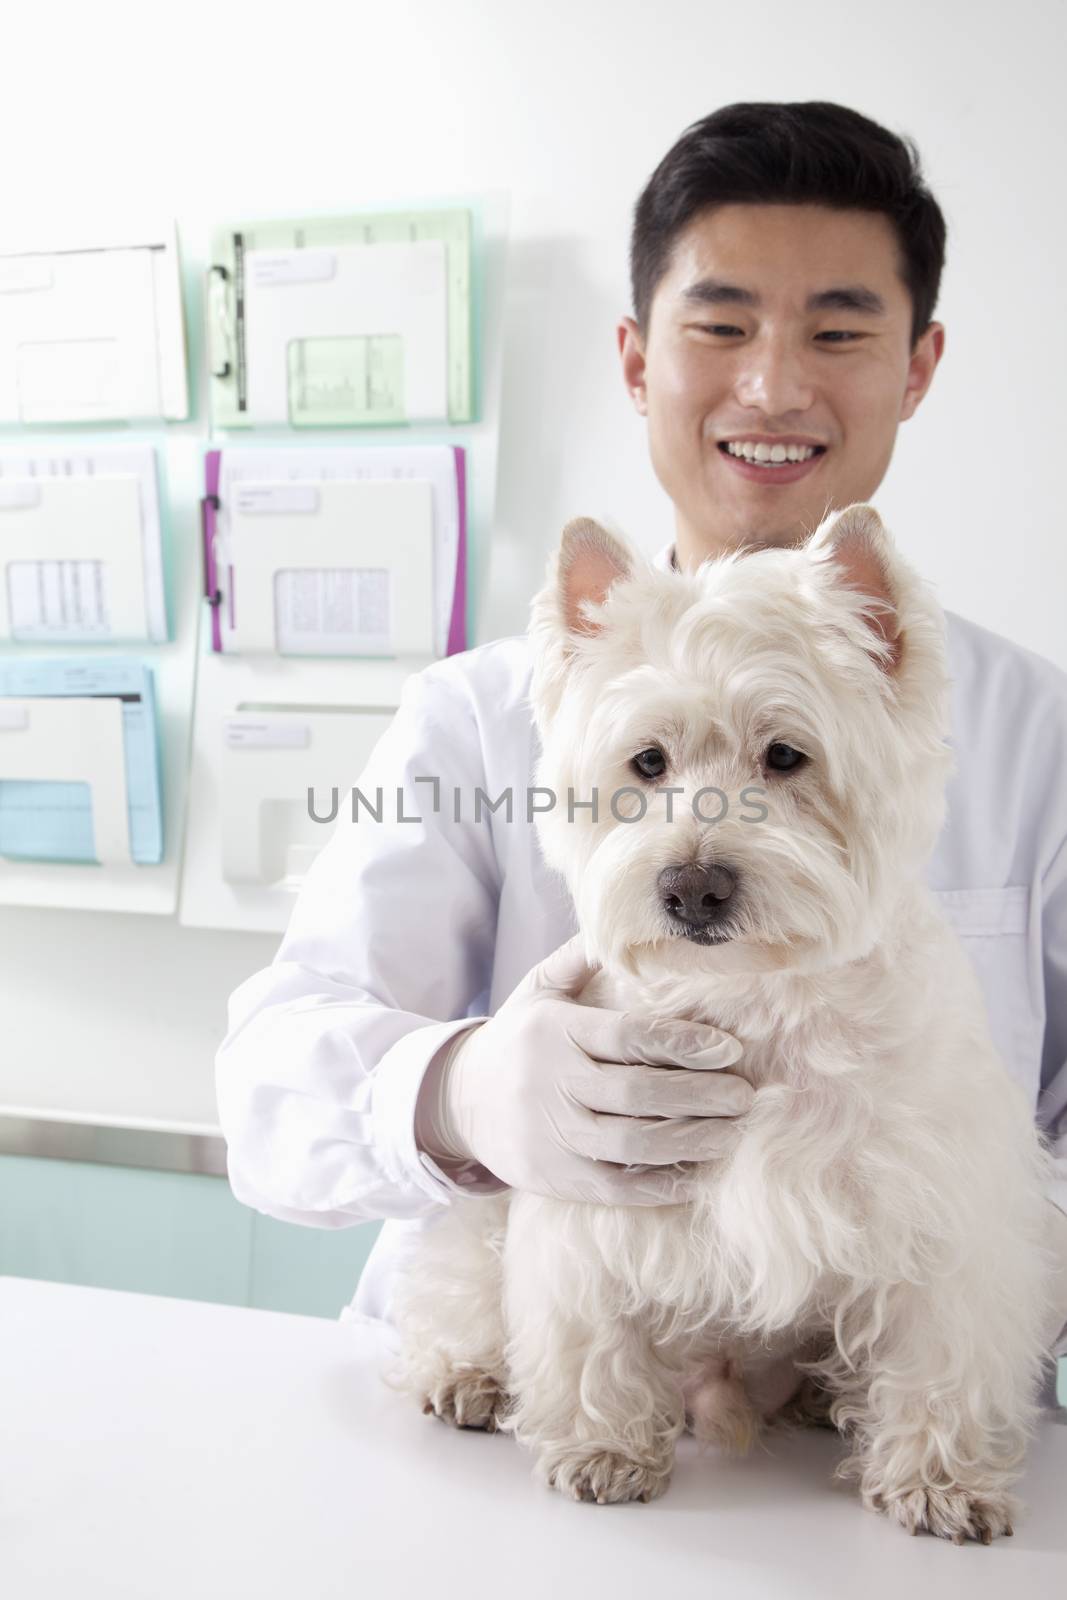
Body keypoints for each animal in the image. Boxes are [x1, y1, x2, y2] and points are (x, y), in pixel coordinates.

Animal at [385, 505, 1062, 1542]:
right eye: (646, 761)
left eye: (784, 755)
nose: (691, 886)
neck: (756, 997)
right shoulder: (595, 1199)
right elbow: (592, 1329)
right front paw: (602, 1448)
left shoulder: (949, 1217)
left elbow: (940, 1355)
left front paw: (939, 1482)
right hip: (490, 1197)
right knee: (463, 1273)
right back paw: (470, 1376)